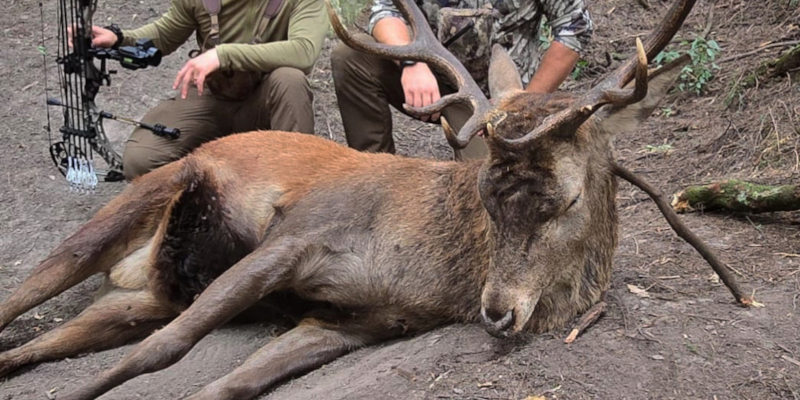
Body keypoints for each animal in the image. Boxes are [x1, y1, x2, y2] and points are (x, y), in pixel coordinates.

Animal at [0, 0, 749, 399]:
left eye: (563, 201)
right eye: (485, 194)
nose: (498, 312)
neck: (432, 266)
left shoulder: (358, 322)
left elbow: (227, 384)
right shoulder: (294, 237)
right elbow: (163, 350)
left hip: (136, 296)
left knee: (36, 346)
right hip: (136, 205)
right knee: (28, 292)